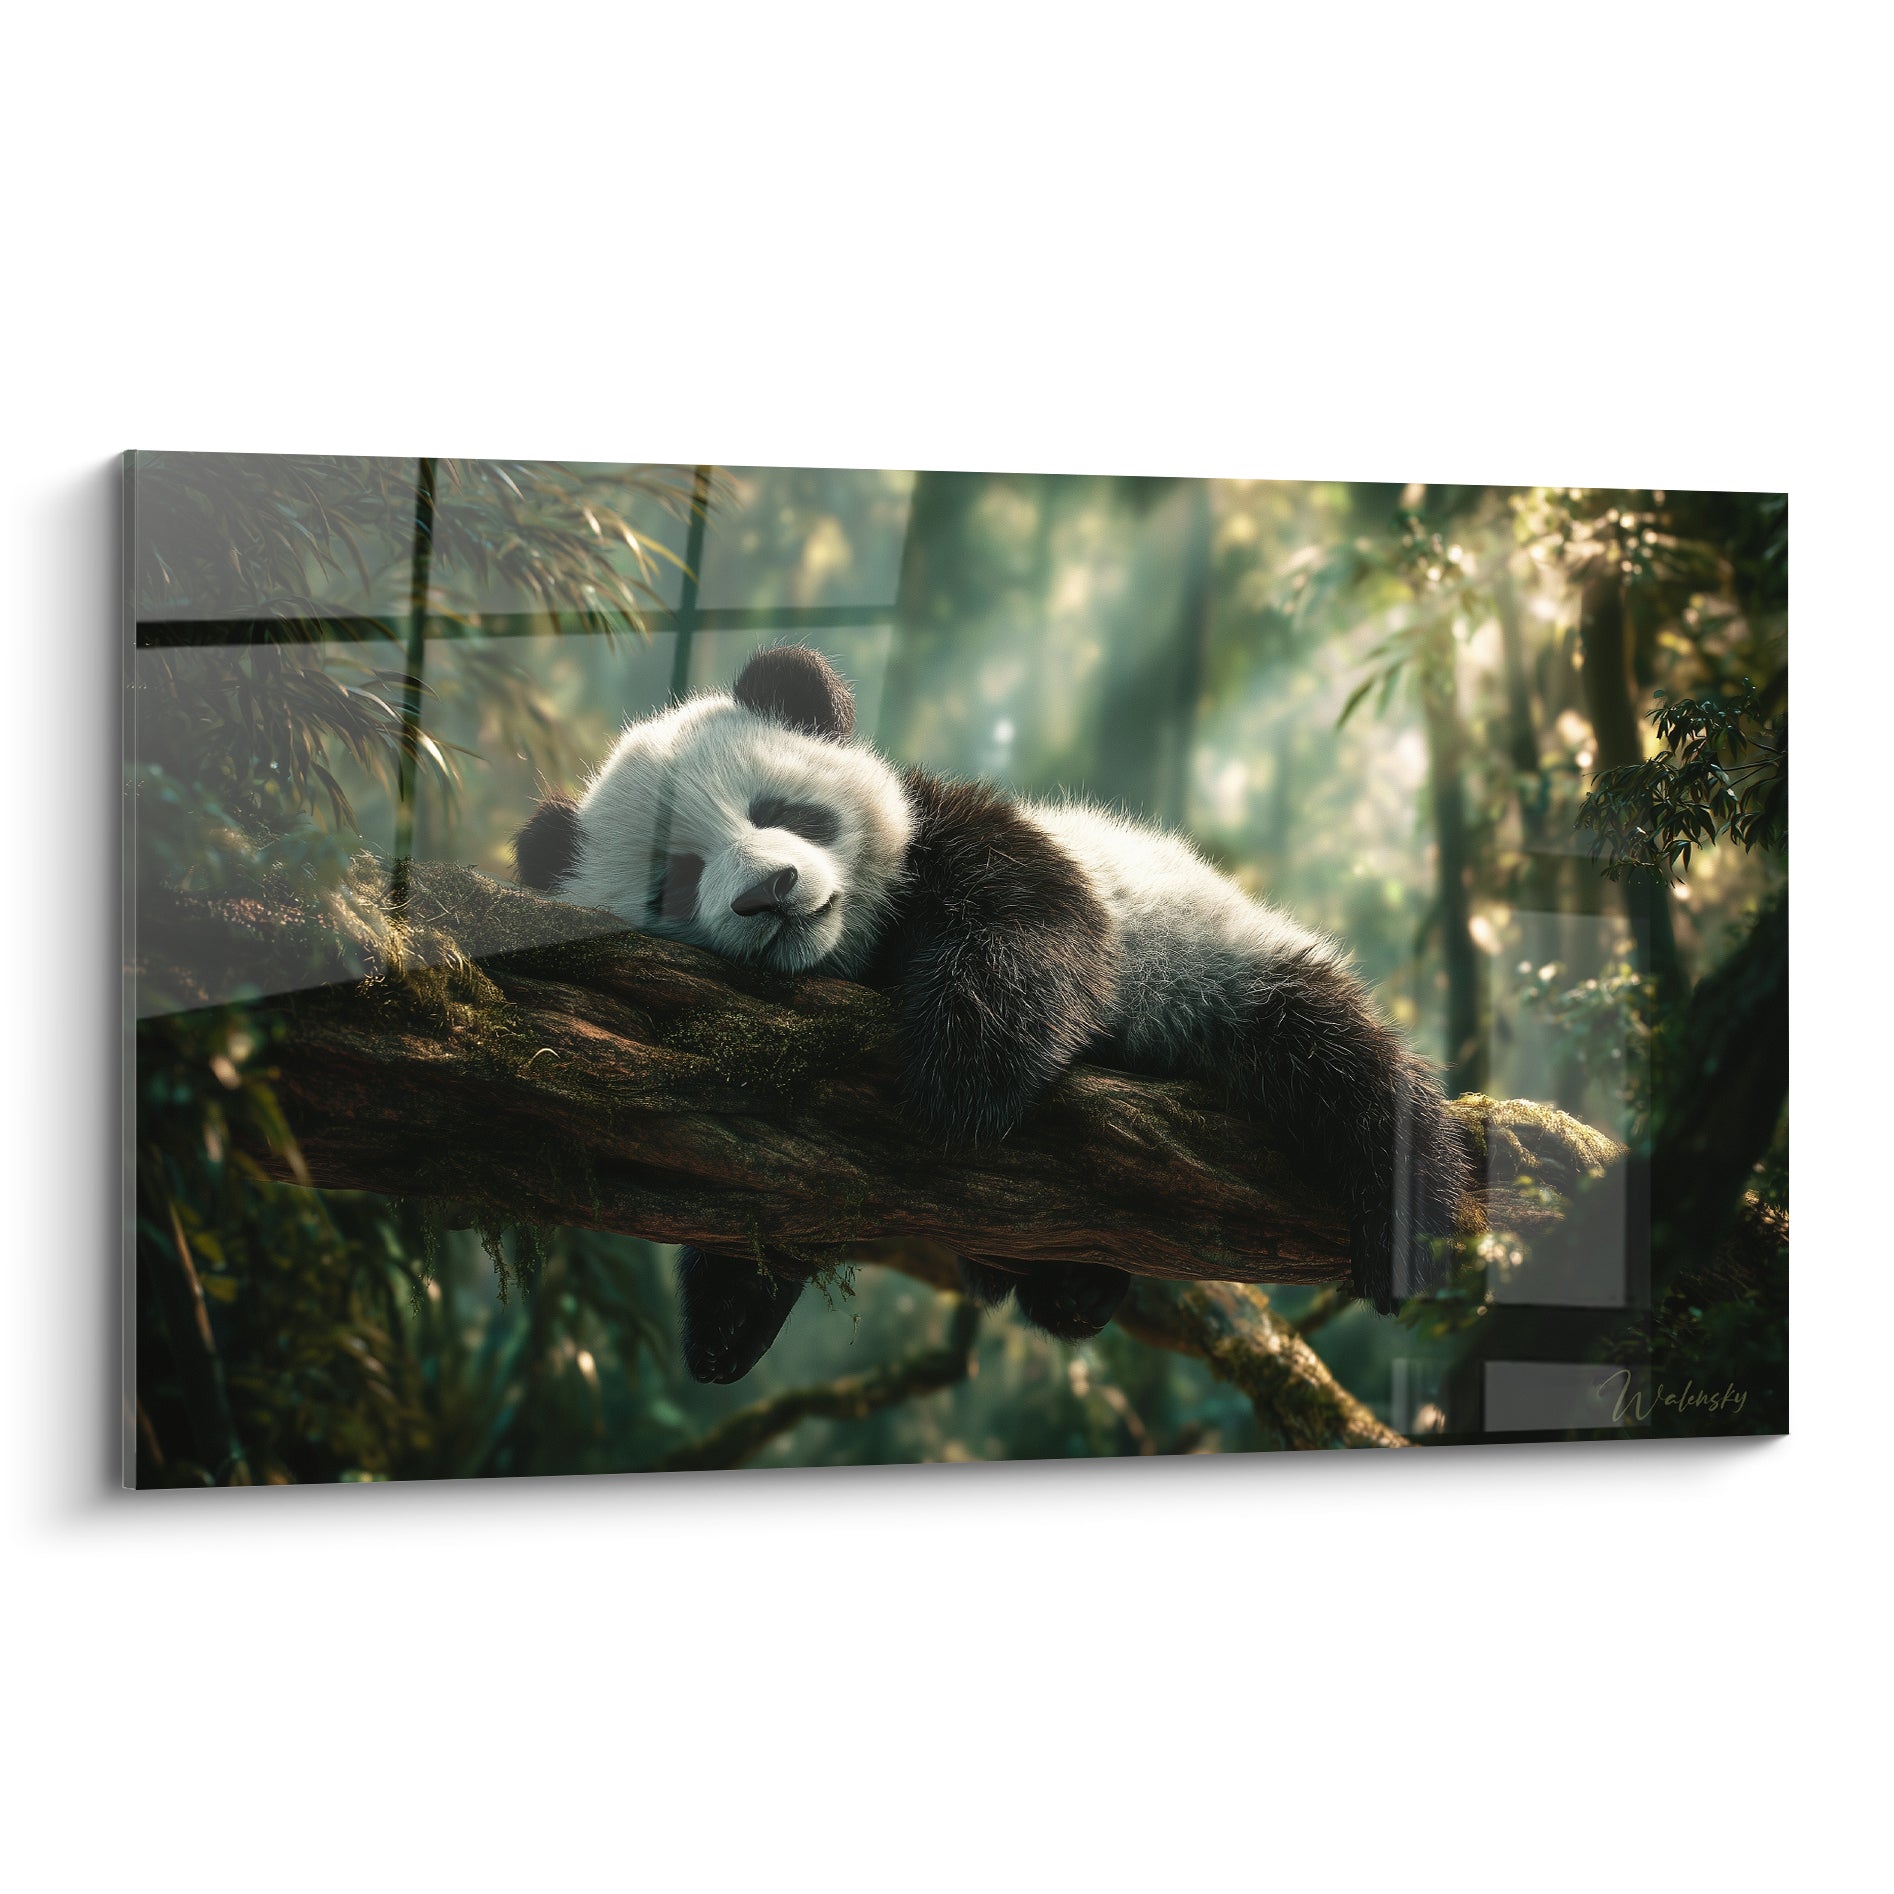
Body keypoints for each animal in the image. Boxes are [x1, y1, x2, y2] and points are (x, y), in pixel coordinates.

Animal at [514, 644, 1468, 1384]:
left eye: (782, 813)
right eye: (674, 879)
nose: (770, 890)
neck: (856, 953)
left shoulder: (959, 831)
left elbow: (1038, 925)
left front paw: (963, 1080)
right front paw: (725, 1316)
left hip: (1212, 967)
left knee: (1330, 1051)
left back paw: (1409, 1211)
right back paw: (1072, 1286)